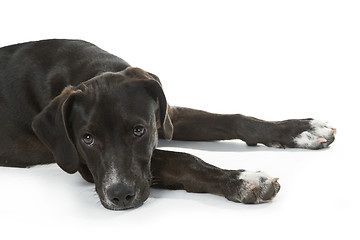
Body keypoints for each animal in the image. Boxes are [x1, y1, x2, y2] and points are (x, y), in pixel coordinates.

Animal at [0, 39, 334, 210]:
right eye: (87, 139)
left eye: (139, 130)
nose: (120, 196)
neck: (94, 68)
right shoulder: (83, 164)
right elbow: (184, 160)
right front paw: (242, 179)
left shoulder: (165, 117)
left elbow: (235, 120)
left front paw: (299, 130)